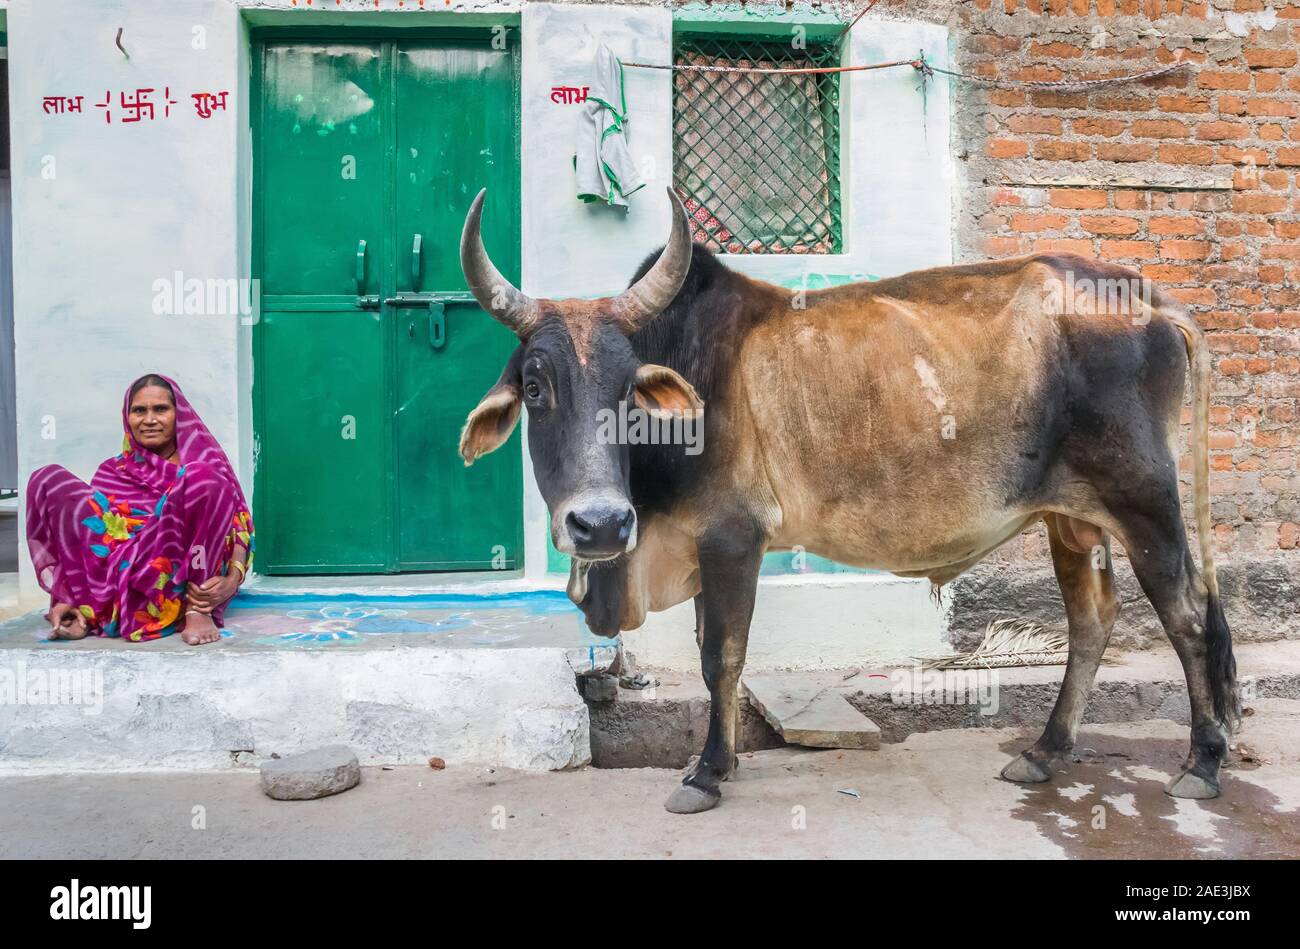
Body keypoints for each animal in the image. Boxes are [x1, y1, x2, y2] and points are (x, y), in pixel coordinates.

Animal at [460, 187, 1237, 811]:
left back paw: (1202, 764)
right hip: (1071, 519)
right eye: (535, 385)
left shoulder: (731, 537)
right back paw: (1045, 753)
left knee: (1189, 614)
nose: (599, 523)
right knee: (1091, 619)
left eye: (629, 389)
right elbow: (718, 655)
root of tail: (1144, 295)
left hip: (1144, 500)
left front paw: (706, 774)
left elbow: (722, 657)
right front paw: (724, 761)